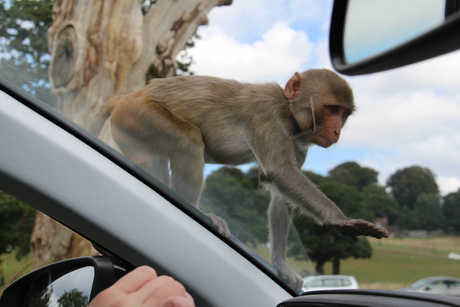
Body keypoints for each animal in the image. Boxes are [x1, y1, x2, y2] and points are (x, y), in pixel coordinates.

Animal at [89, 69, 388, 294]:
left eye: (344, 114)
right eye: (332, 109)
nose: (337, 131)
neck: (289, 111)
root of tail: (131, 95)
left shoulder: (298, 141)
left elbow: (279, 194)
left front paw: (280, 263)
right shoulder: (268, 115)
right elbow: (278, 172)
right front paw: (341, 220)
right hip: (138, 115)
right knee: (187, 139)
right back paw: (199, 210)